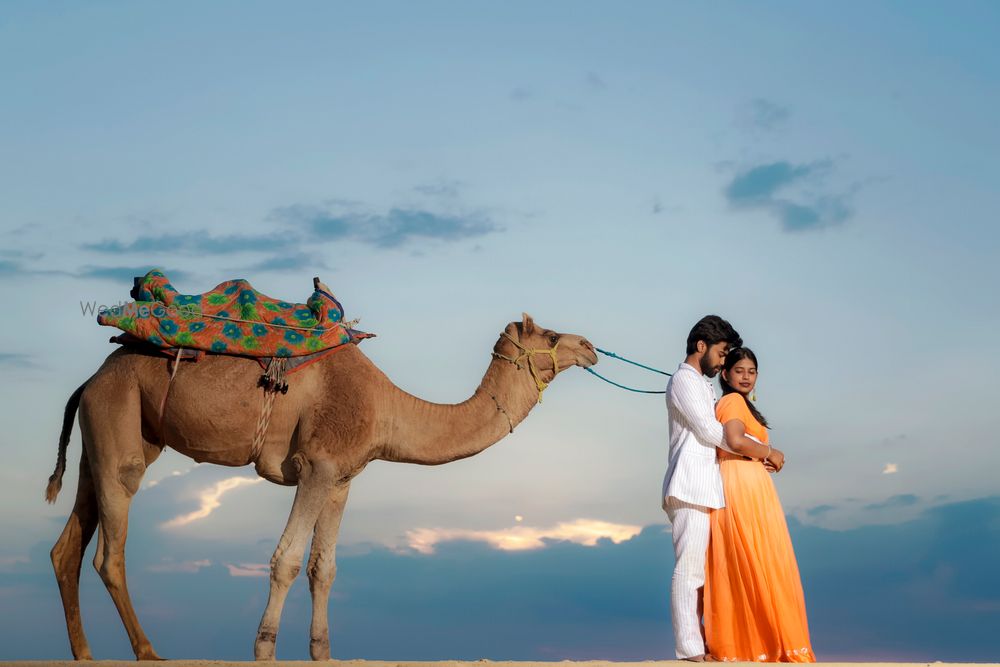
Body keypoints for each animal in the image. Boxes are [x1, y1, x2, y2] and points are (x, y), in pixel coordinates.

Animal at [45, 314, 592, 664]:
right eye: (552, 333)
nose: (588, 346)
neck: (387, 408)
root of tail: (89, 381)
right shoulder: (317, 466)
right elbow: (286, 560)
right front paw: (264, 648)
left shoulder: (342, 479)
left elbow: (323, 569)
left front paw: (322, 652)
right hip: (119, 421)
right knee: (110, 547)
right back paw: (148, 651)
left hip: (110, 434)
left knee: (67, 544)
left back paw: (85, 654)